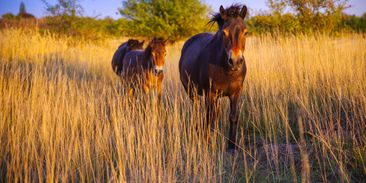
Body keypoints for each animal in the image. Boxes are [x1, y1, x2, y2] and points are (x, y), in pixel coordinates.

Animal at [178, 4, 249, 150]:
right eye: (224, 33)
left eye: (245, 32)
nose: (235, 61)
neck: (227, 71)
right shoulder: (210, 93)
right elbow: (209, 117)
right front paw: (207, 142)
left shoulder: (236, 93)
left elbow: (233, 117)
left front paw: (232, 145)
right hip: (192, 91)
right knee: (198, 110)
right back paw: (199, 132)